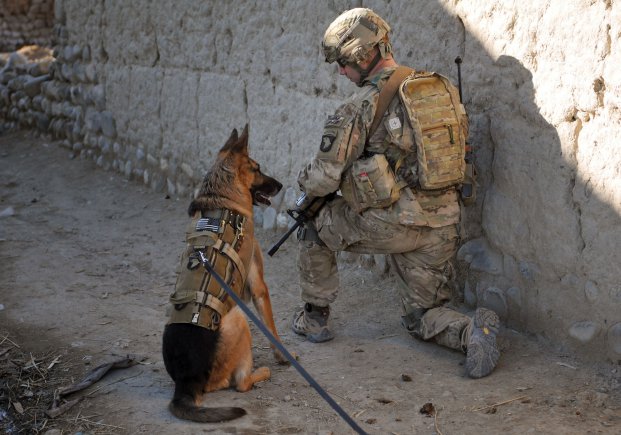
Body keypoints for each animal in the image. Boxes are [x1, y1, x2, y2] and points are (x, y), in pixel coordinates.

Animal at [159, 125, 286, 422]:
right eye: (256, 168)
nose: (280, 185)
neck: (222, 197)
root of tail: (186, 382)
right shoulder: (258, 285)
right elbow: (272, 328)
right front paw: (285, 356)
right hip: (238, 317)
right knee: (240, 384)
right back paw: (261, 372)